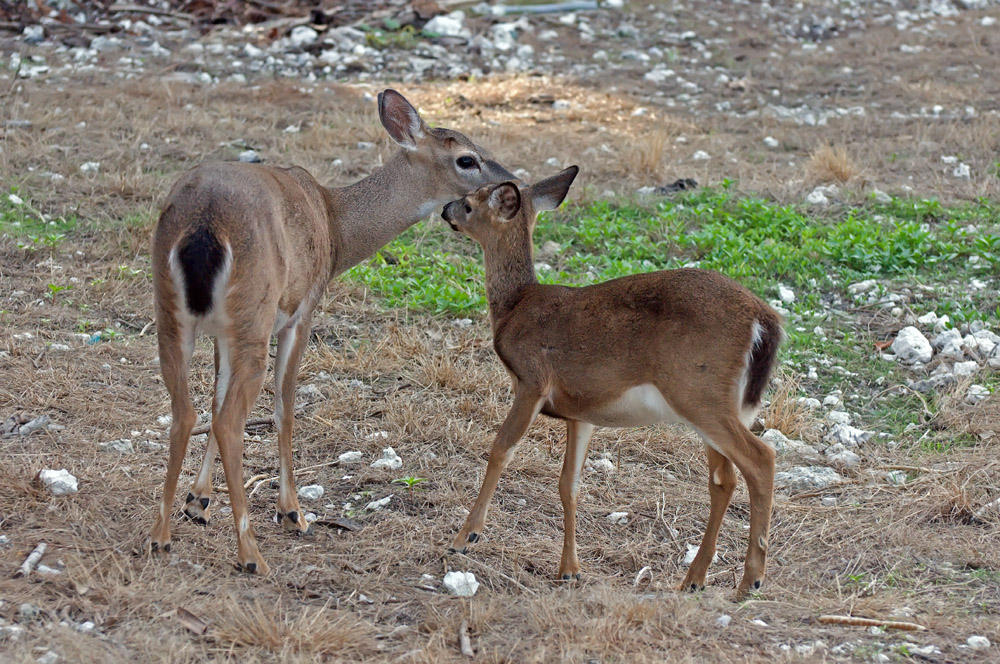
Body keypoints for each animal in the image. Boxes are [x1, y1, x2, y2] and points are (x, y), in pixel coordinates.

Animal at [148, 89, 516, 576]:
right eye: (467, 159)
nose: (511, 182)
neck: (335, 225)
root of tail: (204, 223)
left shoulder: (220, 333)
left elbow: (215, 395)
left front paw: (197, 501)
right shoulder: (300, 312)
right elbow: (284, 408)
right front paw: (291, 513)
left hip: (174, 314)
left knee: (185, 412)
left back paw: (160, 537)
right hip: (253, 313)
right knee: (230, 421)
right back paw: (251, 554)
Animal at [444, 167, 780, 596]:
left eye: (469, 204)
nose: (445, 210)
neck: (514, 306)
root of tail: (764, 320)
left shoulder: (532, 379)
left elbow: (501, 449)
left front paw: (465, 537)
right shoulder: (580, 411)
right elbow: (569, 483)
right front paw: (569, 569)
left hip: (699, 393)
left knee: (761, 459)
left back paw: (750, 580)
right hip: (717, 401)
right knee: (724, 479)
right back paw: (694, 578)